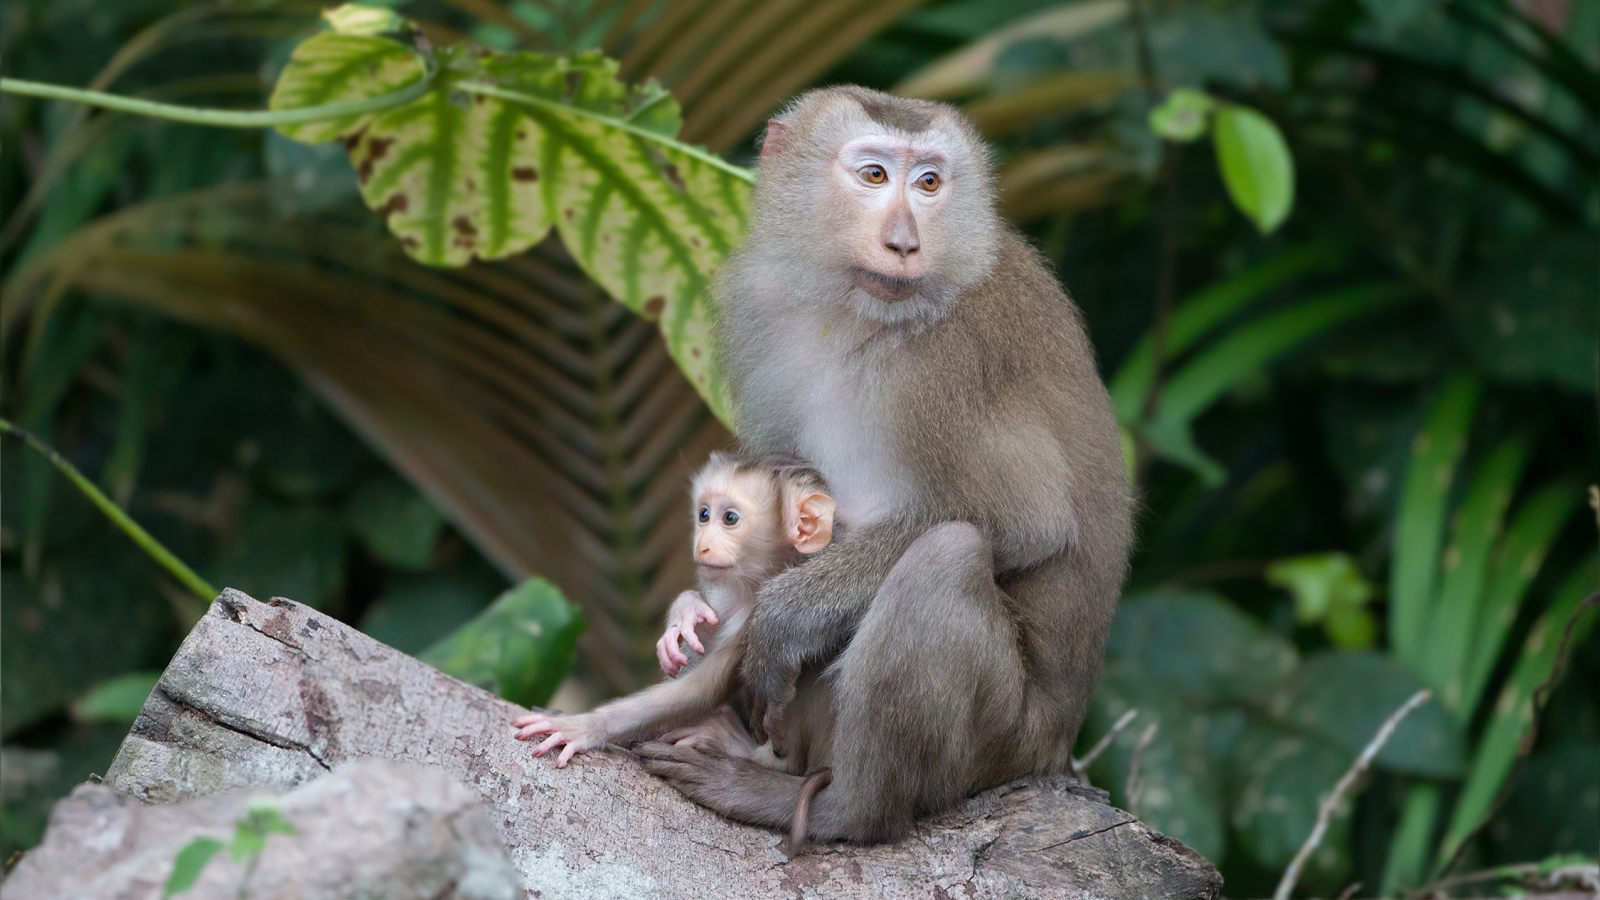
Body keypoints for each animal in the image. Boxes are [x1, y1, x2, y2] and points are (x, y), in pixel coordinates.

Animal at [510, 452, 836, 769]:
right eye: (704, 515)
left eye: (730, 518)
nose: (702, 545)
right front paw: (685, 614)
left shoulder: (760, 613)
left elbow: (702, 688)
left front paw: (584, 727)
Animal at [632, 85, 1135, 845]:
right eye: (874, 175)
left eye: (928, 183)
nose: (904, 242)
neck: (861, 314)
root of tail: (1056, 748)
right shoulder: (764, 307)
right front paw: (697, 611)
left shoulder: (949, 364)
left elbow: (1028, 524)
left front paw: (782, 618)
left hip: (1001, 740)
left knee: (946, 558)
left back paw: (840, 808)